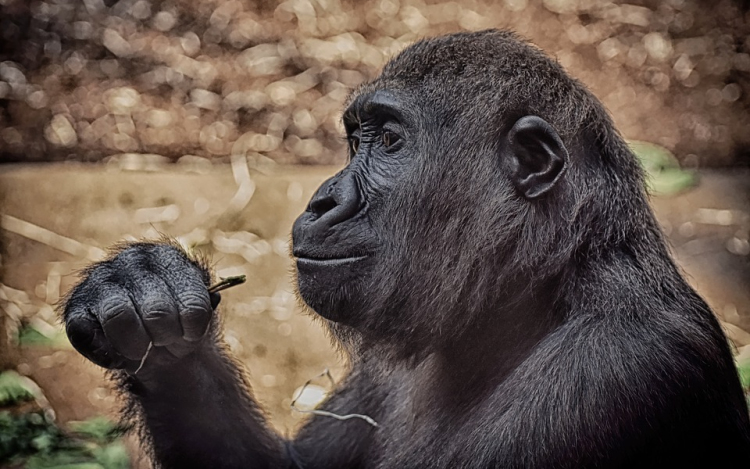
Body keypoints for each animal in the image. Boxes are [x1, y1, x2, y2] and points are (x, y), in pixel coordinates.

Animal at [61, 31, 748, 466]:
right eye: (354, 138)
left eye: (389, 140)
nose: (322, 200)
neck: (536, 290)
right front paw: (148, 307)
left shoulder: (611, 371)